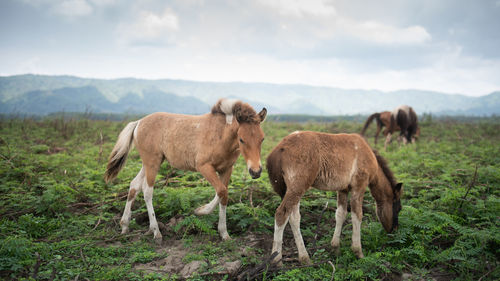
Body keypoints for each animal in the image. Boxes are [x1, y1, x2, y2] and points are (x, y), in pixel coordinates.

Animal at [266, 130, 402, 264]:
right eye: (398, 208)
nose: (395, 229)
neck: (368, 154)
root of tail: (279, 148)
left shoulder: (343, 189)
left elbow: (340, 214)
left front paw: (335, 248)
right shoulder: (359, 186)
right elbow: (357, 215)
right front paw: (358, 252)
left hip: (292, 190)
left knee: (294, 218)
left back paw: (305, 258)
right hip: (297, 188)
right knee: (281, 214)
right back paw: (276, 259)